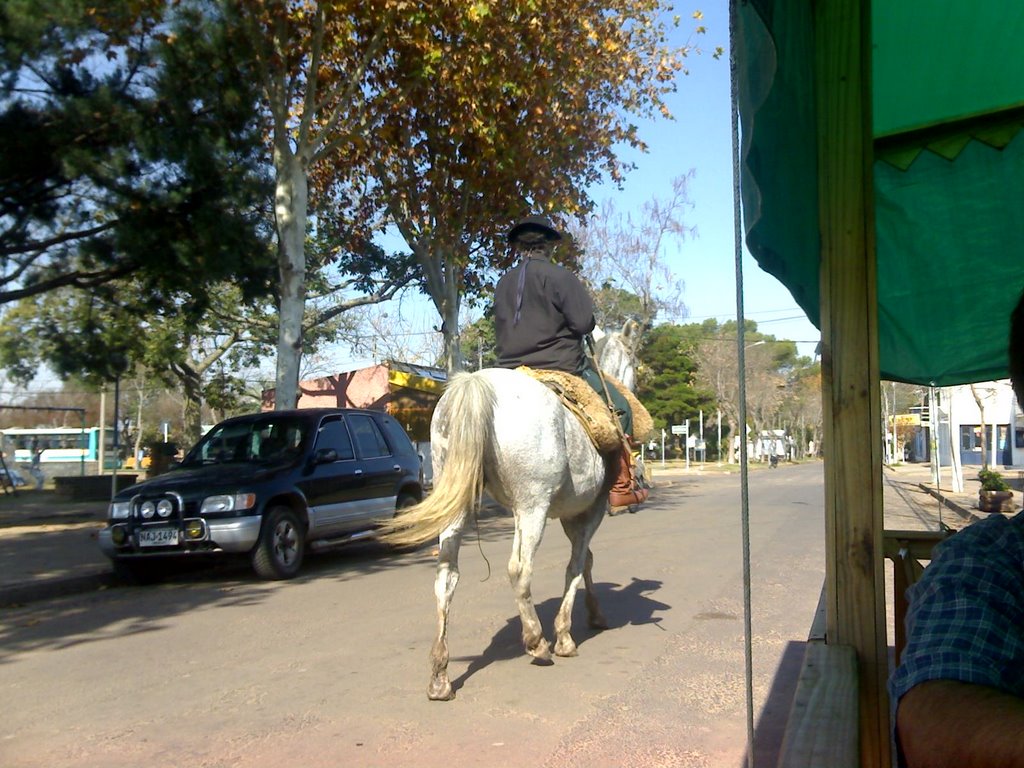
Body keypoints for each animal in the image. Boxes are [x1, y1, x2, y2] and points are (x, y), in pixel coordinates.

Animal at [385, 325, 638, 704]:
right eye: (633, 359)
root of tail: (477, 383)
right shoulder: (589, 510)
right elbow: (577, 566)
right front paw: (565, 636)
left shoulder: (571, 514)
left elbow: (586, 562)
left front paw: (594, 614)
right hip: (532, 505)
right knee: (519, 569)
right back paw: (537, 642)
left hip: (460, 499)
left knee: (446, 576)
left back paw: (440, 675)